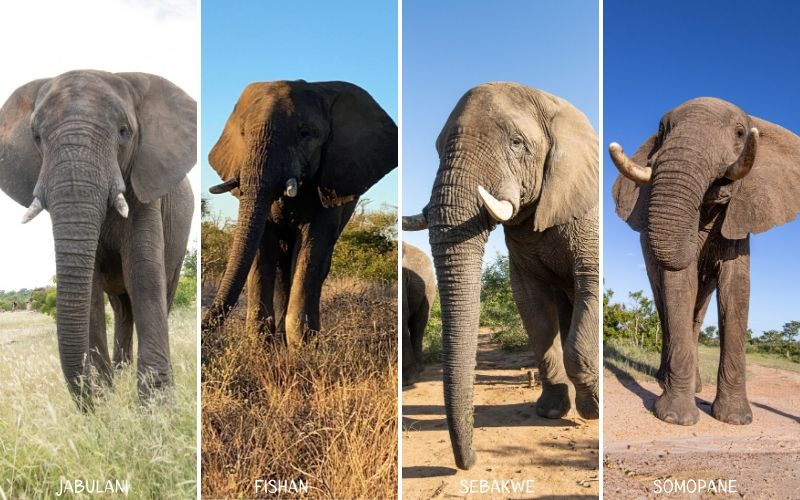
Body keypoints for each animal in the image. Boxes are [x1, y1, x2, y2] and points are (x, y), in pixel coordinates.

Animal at [0, 70, 196, 409]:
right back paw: (120, 372)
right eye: (36, 137)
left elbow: (144, 276)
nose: (88, 399)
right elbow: (89, 283)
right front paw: (106, 399)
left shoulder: (145, 193)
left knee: (160, 292)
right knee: (121, 308)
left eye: (124, 132)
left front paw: (157, 407)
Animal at [201, 80, 397, 346]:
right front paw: (262, 347)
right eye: (243, 133)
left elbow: (311, 250)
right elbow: (262, 249)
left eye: (305, 134)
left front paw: (302, 348)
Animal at [403, 82, 599, 470]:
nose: (471, 461)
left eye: (516, 143)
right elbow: (533, 308)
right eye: (438, 149)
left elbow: (591, 281)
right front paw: (552, 411)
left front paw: (592, 410)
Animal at [610, 97, 800, 426]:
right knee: (666, 306)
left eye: (740, 133)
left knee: (697, 312)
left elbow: (736, 288)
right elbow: (679, 282)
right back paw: (664, 380)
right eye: (662, 130)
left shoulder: (741, 218)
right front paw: (675, 418)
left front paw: (735, 419)